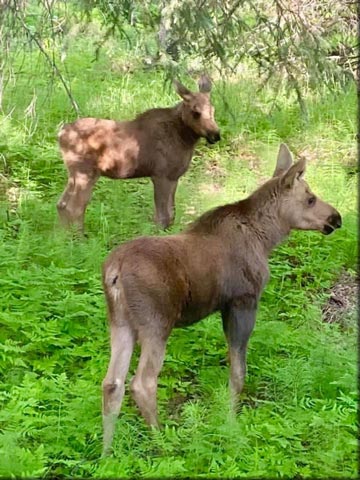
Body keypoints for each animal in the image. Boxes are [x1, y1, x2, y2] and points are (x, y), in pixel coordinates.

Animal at [57, 76, 219, 232]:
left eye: (213, 110)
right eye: (196, 112)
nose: (215, 135)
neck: (185, 139)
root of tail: (60, 134)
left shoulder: (174, 176)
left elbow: (172, 213)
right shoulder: (160, 175)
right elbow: (162, 216)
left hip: (75, 174)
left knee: (62, 204)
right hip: (85, 172)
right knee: (74, 207)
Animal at [100, 143, 340, 454]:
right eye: (310, 199)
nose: (336, 217)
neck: (266, 239)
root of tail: (114, 271)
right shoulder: (243, 301)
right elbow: (238, 372)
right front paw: (230, 420)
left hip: (120, 322)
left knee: (111, 383)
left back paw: (107, 453)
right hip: (156, 322)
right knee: (142, 382)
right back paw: (162, 442)